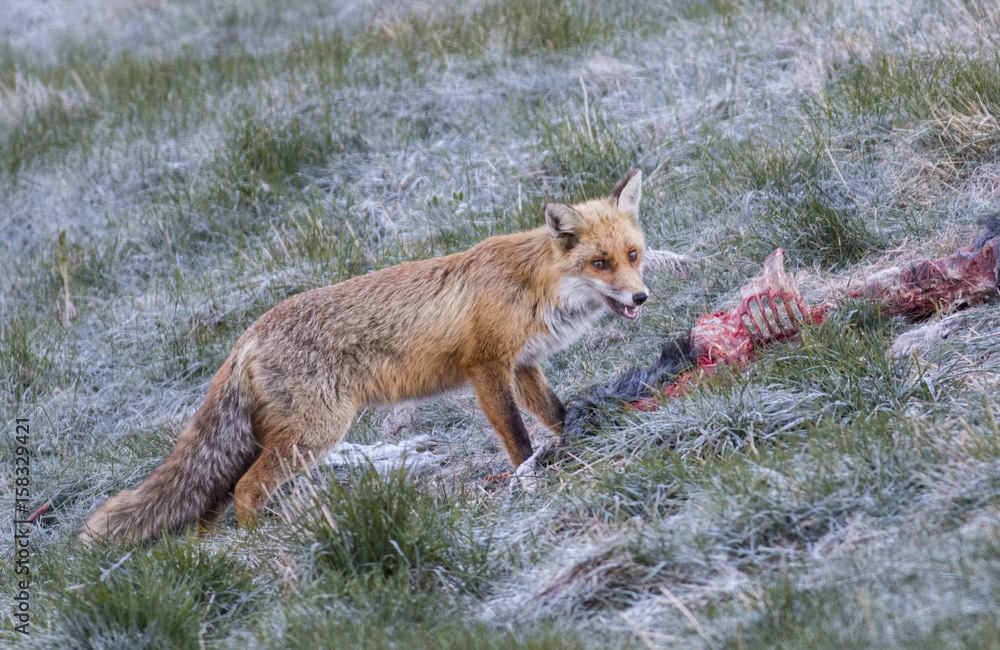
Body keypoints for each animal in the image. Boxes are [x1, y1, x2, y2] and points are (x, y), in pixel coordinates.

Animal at [80, 170, 649, 544]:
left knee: (209, 502)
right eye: (599, 264)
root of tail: (248, 335)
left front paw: (575, 445)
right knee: (244, 490)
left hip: (275, 440)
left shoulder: (524, 365)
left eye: (632, 255)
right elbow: (517, 438)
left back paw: (214, 548)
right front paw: (530, 480)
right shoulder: (486, 368)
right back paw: (261, 545)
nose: (641, 297)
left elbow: (555, 415)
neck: (534, 286)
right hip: (313, 435)